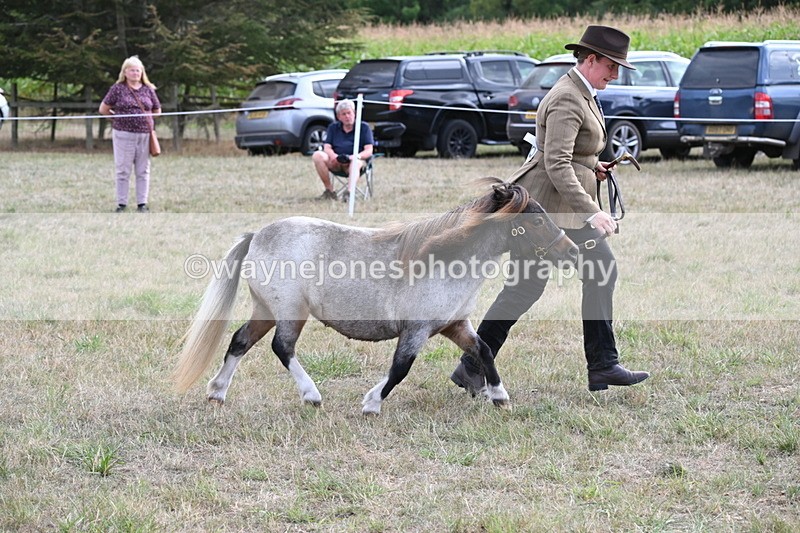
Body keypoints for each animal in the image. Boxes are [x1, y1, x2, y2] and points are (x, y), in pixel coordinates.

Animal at [173, 178, 578, 415]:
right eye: (537, 220)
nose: (572, 251)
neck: (447, 259)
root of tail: (257, 235)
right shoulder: (416, 330)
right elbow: (400, 368)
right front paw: (371, 403)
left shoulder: (454, 325)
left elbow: (484, 350)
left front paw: (499, 395)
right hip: (290, 311)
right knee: (282, 348)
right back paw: (311, 395)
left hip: (266, 310)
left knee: (240, 341)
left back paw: (218, 392)